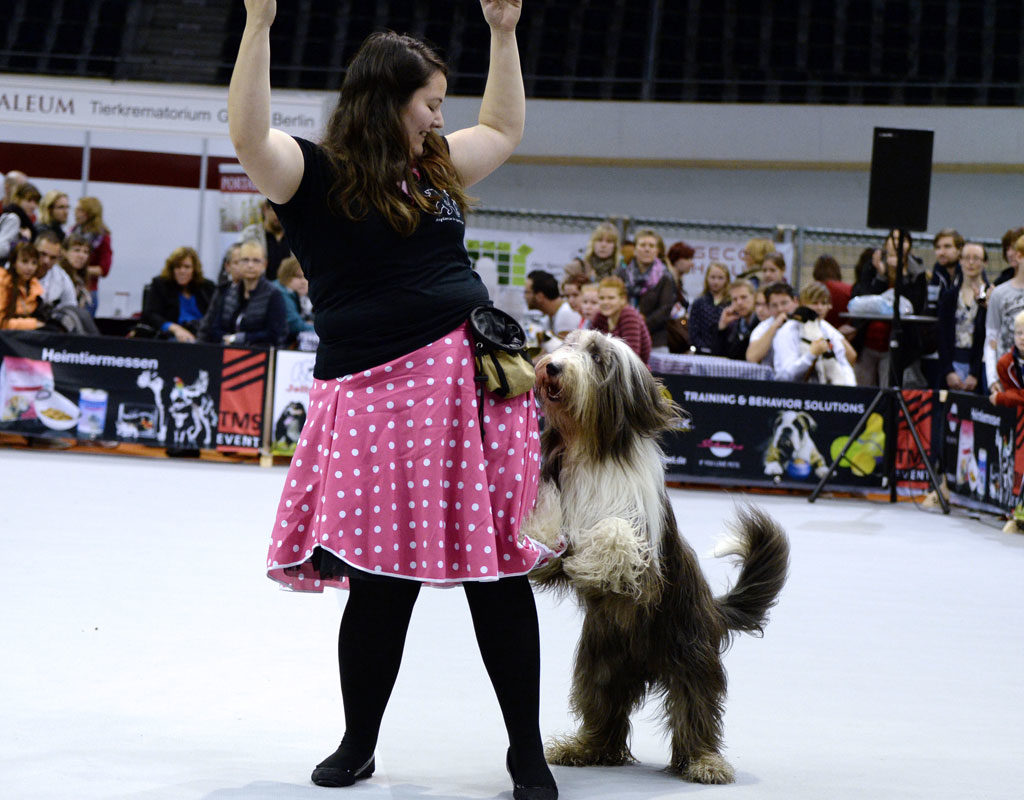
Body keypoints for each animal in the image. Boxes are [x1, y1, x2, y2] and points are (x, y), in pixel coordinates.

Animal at [524, 327, 786, 782]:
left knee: (696, 709)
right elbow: (549, 527)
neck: (591, 449)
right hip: (599, 665)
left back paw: (704, 763)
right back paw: (582, 748)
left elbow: (615, 532)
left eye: (597, 357)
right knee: (603, 711)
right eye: (568, 344)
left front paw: (593, 561)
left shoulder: (643, 543)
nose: (551, 366)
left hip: (691, 655)